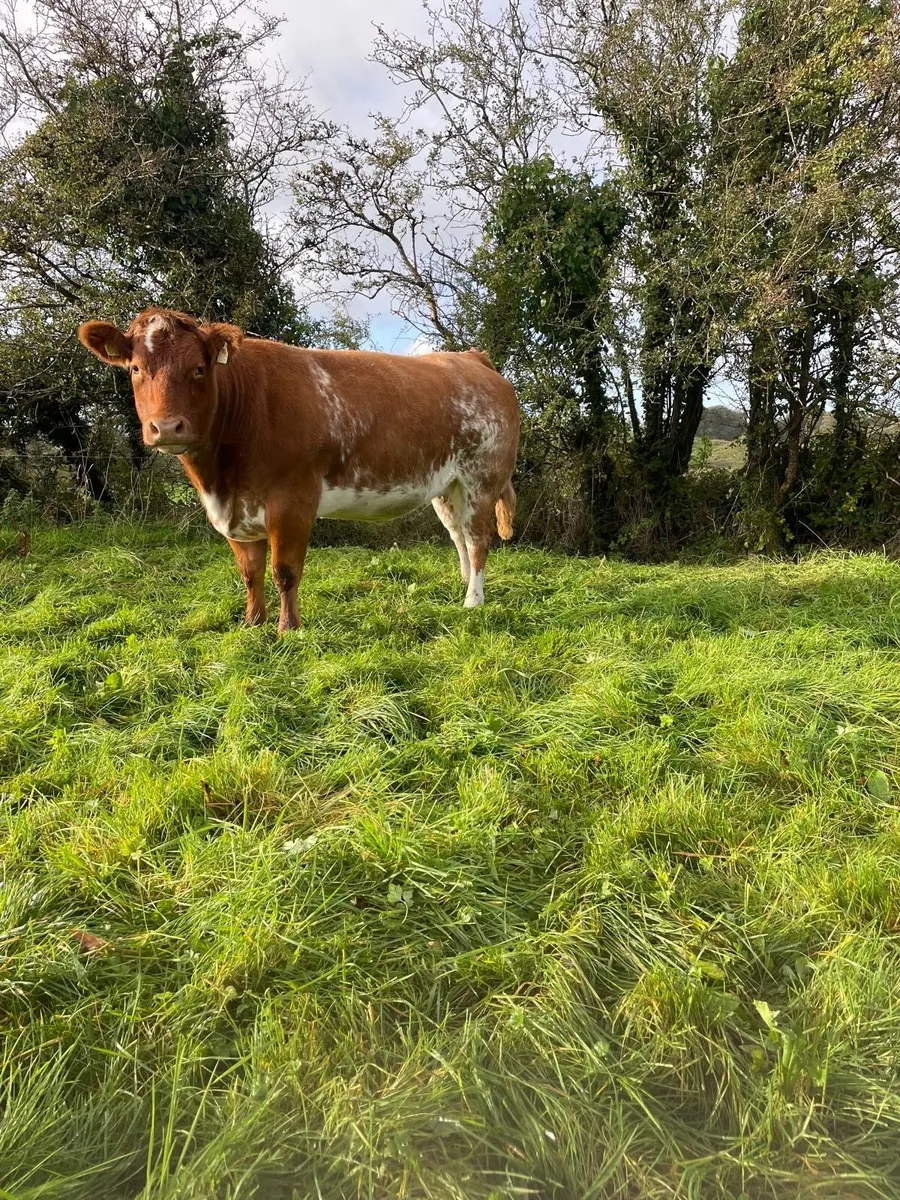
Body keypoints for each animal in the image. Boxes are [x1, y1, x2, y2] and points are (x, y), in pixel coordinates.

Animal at [78, 309, 519, 632]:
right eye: (136, 369)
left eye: (199, 369)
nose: (167, 427)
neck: (220, 479)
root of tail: (471, 358)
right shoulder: (235, 512)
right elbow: (250, 573)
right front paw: (251, 624)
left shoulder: (291, 503)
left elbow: (284, 571)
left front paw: (288, 628)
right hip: (448, 485)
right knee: (458, 534)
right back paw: (462, 584)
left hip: (483, 475)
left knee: (478, 538)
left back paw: (473, 601)